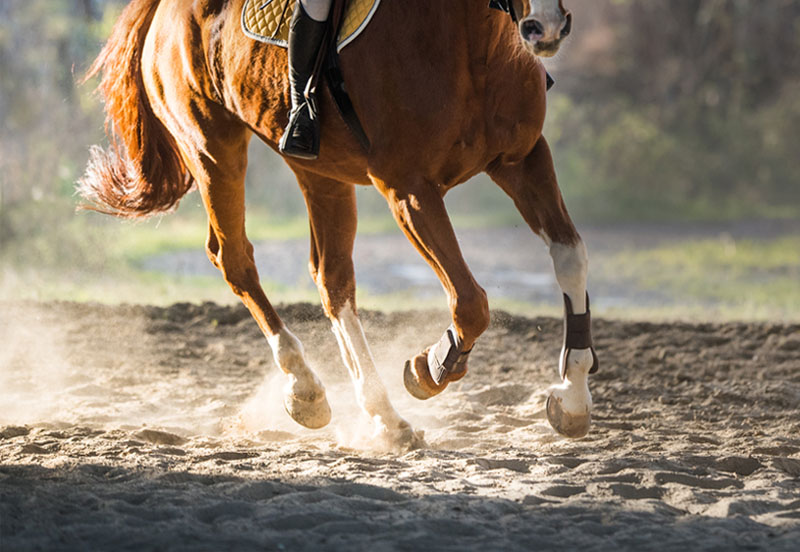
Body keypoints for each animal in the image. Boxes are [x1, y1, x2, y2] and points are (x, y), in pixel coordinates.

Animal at [78, 0, 596, 448]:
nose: (545, 28)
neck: (474, 43)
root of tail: (165, 8)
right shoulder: (408, 190)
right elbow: (470, 303)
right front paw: (429, 367)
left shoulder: (522, 160)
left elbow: (570, 258)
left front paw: (572, 398)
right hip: (212, 148)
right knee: (235, 259)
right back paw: (306, 388)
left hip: (319, 171)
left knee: (332, 281)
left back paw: (381, 416)